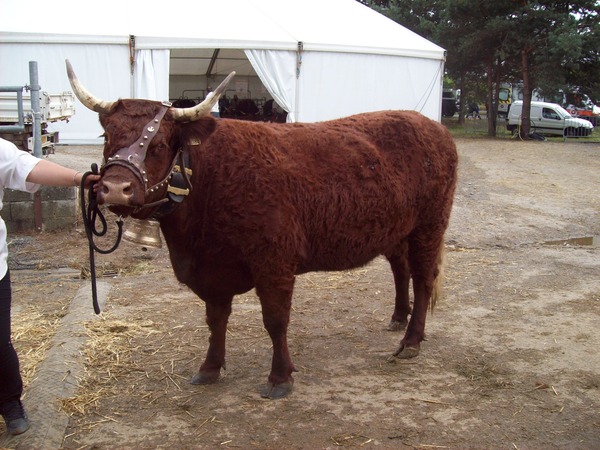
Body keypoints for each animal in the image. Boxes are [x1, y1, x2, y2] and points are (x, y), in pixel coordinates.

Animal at [65, 59, 458, 398]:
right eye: (108, 136)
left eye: (158, 144)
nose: (114, 189)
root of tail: (431, 125)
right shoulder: (212, 270)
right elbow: (215, 319)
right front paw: (210, 368)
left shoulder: (275, 263)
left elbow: (275, 320)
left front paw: (280, 377)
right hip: (397, 232)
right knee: (400, 270)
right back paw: (397, 318)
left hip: (429, 227)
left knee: (423, 278)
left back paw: (410, 341)